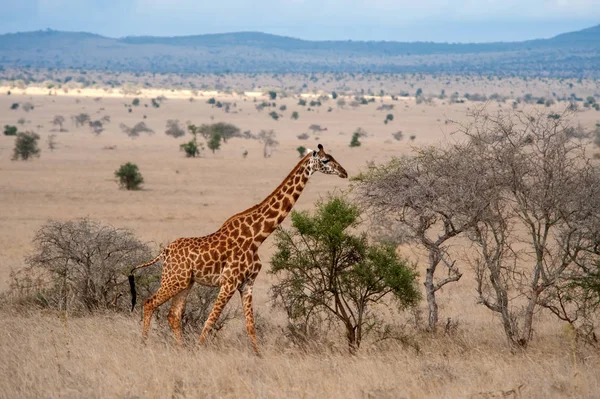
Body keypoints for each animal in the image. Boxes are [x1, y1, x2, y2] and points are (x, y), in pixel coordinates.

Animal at [130, 143, 346, 354]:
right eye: (326, 160)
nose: (344, 172)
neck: (257, 237)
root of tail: (165, 252)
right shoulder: (229, 282)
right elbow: (210, 320)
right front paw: (197, 350)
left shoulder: (247, 284)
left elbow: (250, 325)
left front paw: (259, 356)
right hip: (173, 279)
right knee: (149, 303)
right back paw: (144, 345)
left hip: (185, 282)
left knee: (173, 314)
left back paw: (179, 349)